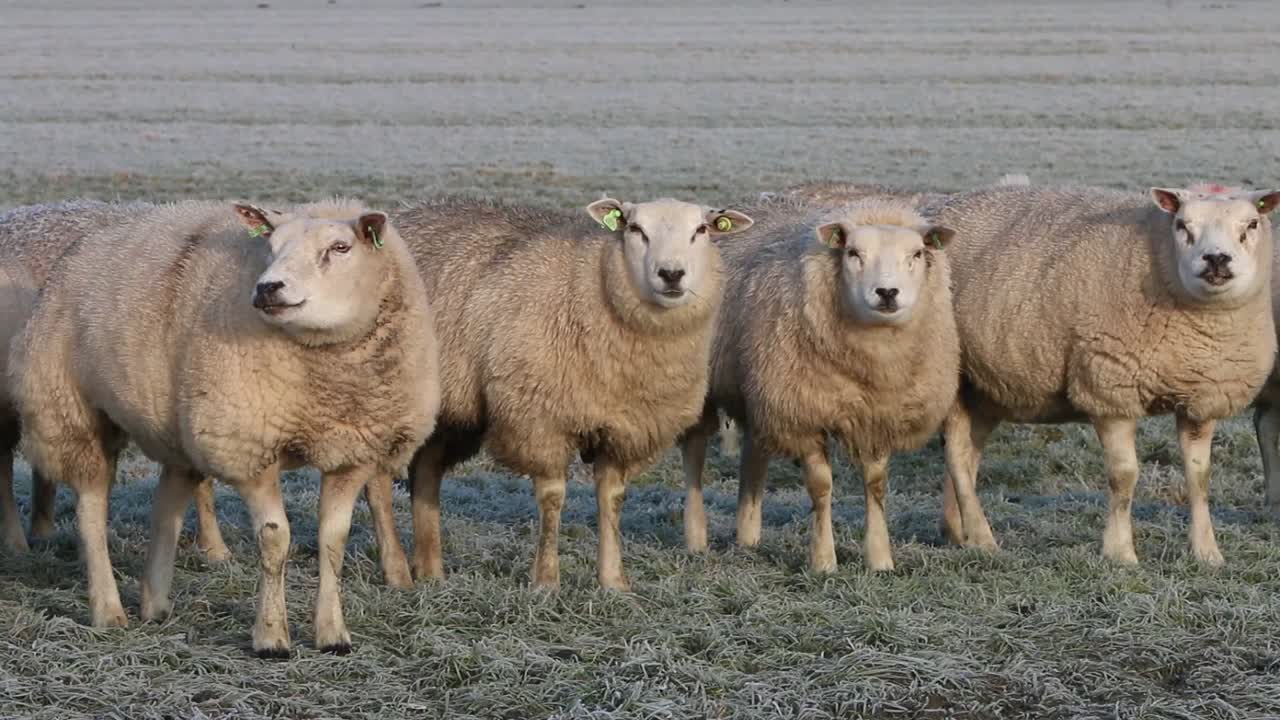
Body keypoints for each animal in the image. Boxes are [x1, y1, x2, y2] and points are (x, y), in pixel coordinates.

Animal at [392, 197, 752, 590]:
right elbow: (553, 498)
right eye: (635, 229)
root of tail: (406, 214)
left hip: (449, 415)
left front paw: (613, 581)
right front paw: (546, 580)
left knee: (426, 472)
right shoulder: (540, 420)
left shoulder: (624, 429)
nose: (671, 274)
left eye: (701, 230)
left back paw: (431, 571)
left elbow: (612, 499)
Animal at [679, 197, 960, 571]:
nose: (887, 292)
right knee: (694, 453)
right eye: (853, 253)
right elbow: (821, 487)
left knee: (754, 454)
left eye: (916, 253)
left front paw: (880, 558)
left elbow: (876, 484)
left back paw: (748, 537)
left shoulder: (878, 414)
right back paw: (696, 539)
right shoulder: (805, 411)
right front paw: (824, 561)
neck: (874, 361)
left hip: (761, 385)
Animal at [934, 183, 1280, 566]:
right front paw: (1120, 553)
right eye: (1182, 225)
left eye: (1251, 224)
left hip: (985, 388)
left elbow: (1199, 477)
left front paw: (1207, 553)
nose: (1216, 259)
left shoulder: (1201, 397)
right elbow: (1124, 476)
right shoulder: (1111, 388)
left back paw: (957, 533)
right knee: (957, 457)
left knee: (967, 455)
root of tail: (943, 206)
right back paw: (982, 539)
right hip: (949, 376)